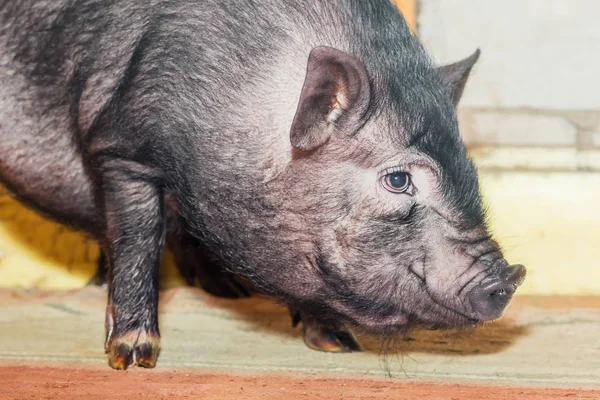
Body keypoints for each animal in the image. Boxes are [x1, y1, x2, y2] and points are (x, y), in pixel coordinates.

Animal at [0, 0, 524, 370]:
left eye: (470, 172)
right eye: (398, 179)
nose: (508, 278)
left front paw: (338, 344)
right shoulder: (121, 145)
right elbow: (139, 238)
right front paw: (133, 356)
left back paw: (229, 292)